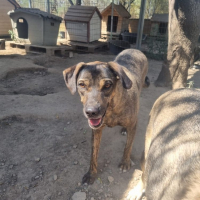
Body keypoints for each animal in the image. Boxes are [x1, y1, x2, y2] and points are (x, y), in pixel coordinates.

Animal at [63, 48, 149, 184]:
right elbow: (93, 155)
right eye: (81, 85)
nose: (91, 112)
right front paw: (91, 174)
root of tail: (134, 49)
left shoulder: (133, 125)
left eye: (108, 85)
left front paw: (125, 162)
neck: (110, 110)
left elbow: (128, 146)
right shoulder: (96, 130)